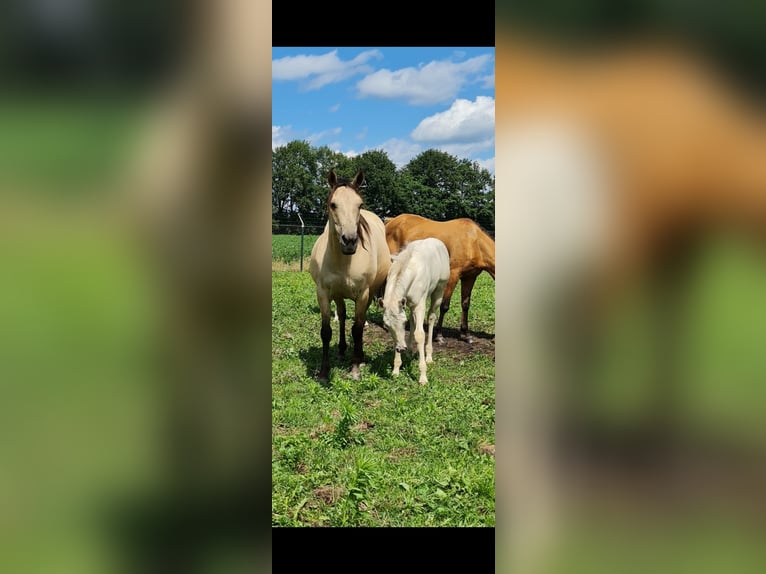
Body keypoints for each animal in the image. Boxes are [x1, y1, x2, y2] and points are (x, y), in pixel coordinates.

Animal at [309, 169, 391, 382]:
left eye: (359, 205)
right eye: (333, 204)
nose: (350, 241)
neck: (343, 261)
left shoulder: (362, 295)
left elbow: (357, 328)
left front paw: (354, 368)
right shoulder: (323, 293)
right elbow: (326, 331)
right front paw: (324, 371)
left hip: (368, 294)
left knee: (358, 322)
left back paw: (359, 357)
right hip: (338, 295)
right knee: (343, 315)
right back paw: (342, 348)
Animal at [381, 238, 451, 385]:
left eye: (403, 323)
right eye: (386, 326)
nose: (401, 348)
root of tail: (438, 241)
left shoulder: (419, 305)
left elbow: (420, 334)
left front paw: (423, 377)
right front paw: (396, 370)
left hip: (439, 290)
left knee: (431, 317)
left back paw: (429, 356)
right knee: (413, 321)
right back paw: (410, 351)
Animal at [384, 214, 495, 344]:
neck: (474, 242)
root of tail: (392, 221)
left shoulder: (470, 277)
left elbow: (465, 304)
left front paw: (465, 335)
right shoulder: (453, 275)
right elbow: (444, 305)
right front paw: (439, 335)